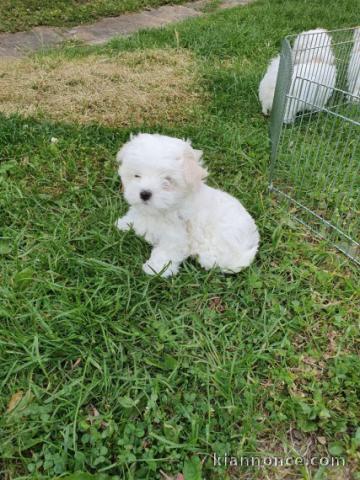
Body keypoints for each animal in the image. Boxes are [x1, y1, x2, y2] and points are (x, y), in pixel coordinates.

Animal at [115, 135, 258, 278]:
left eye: (167, 180)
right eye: (137, 175)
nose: (144, 194)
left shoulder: (176, 236)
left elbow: (165, 252)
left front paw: (155, 269)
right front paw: (124, 223)